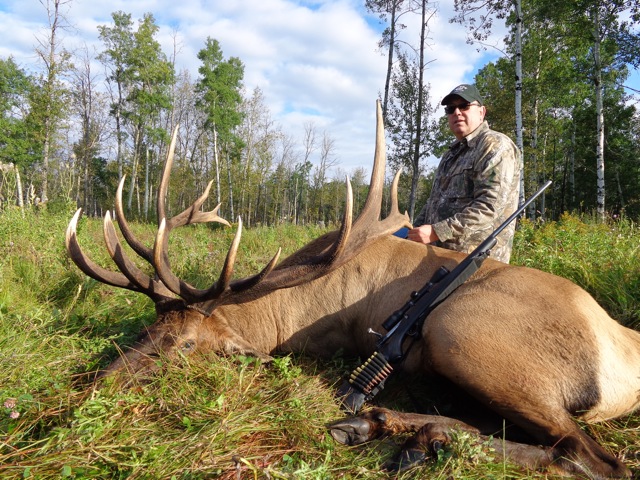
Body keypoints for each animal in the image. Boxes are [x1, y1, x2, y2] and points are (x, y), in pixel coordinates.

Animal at [66, 102, 640, 479]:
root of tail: (626, 365)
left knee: (589, 456)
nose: (95, 386)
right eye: (151, 326)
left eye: (185, 344)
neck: (299, 313)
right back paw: (388, 428)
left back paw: (398, 434)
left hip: (463, 334)